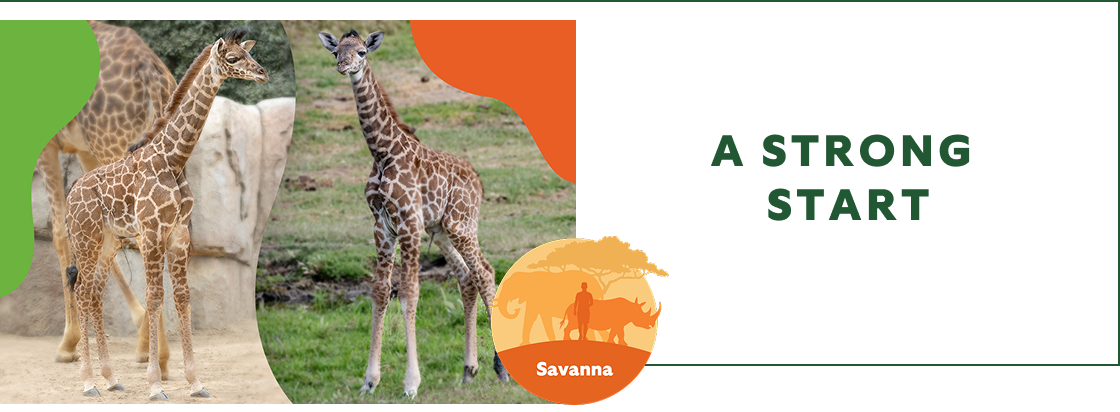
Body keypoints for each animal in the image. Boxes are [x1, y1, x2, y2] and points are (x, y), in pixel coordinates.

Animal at [37, 20, 177, 370]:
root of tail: (151, 71)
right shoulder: (85, 151)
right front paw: (140, 330)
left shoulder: (46, 143)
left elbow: (61, 233)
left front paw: (68, 342)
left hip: (117, 146)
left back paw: (161, 356)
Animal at [64, 27, 268, 400]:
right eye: (233, 58)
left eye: (249, 54)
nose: (263, 73)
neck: (174, 158)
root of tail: (73, 192)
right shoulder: (152, 231)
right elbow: (155, 297)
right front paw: (156, 385)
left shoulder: (178, 233)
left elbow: (183, 298)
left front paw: (196, 384)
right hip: (86, 237)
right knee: (83, 291)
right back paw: (88, 383)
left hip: (110, 241)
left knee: (95, 294)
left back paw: (111, 379)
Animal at [318, 29, 510, 399]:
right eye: (336, 50)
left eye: (362, 51)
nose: (343, 65)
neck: (383, 154)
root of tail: (479, 181)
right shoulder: (382, 226)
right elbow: (380, 291)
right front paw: (369, 381)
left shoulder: (409, 223)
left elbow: (408, 292)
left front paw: (410, 383)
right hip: (442, 230)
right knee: (467, 278)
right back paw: (469, 370)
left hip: (461, 223)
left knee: (486, 273)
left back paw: (502, 370)